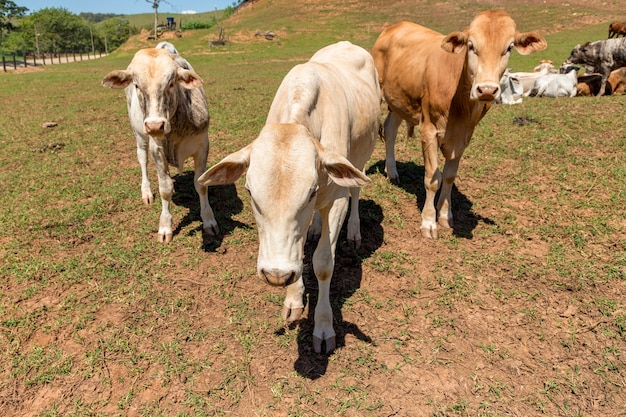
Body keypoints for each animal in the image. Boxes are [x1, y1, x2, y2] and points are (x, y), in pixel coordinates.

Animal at [101, 40, 218, 242]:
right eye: (137, 85)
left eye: (171, 83)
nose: (155, 126)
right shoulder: (157, 149)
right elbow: (165, 188)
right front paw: (165, 227)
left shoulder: (203, 145)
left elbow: (201, 184)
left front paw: (209, 221)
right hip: (139, 135)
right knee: (142, 159)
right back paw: (146, 192)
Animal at [197, 40, 380, 352]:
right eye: (249, 191)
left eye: (311, 191)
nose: (276, 275)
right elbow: (300, 249)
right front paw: (294, 298)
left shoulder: (336, 199)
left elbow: (322, 263)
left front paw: (323, 327)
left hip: (362, 154)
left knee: (356, 190)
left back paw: (354, 232)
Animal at [370, 10, 544, 237]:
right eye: (471, 45)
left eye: (509, 47)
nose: (486, 90)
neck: (460, 105)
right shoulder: (429, 130)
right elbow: (432, 178)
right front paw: (428, 222)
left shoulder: (463, 137)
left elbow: (449, 177)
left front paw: (445, 216)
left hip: (399, 101)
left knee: (390, 130)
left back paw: (392, 172)